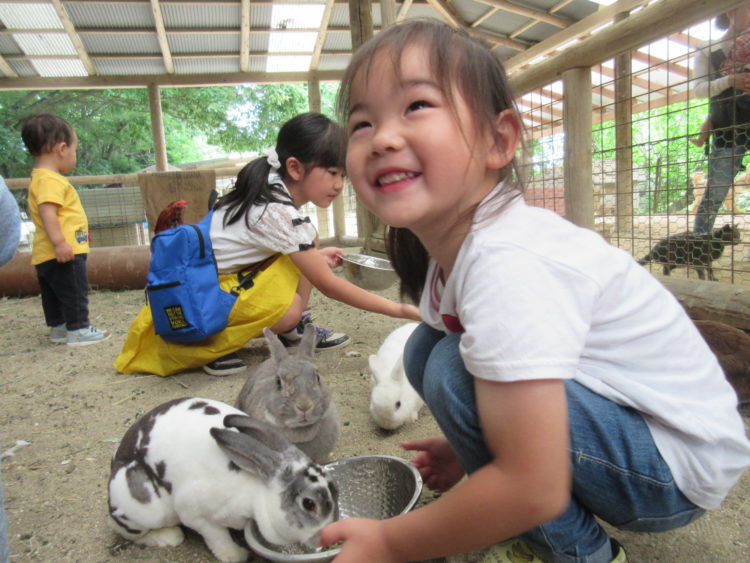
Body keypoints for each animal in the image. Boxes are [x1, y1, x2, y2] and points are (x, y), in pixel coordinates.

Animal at [107, 396, 340, 563]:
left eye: (336, 489)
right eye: (309, 504)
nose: (327, 535)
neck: (254, 487)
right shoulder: (196, 515)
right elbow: (218, 538)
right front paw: (237, 555)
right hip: (144, 506)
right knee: (129, 532)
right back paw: (170, 536)